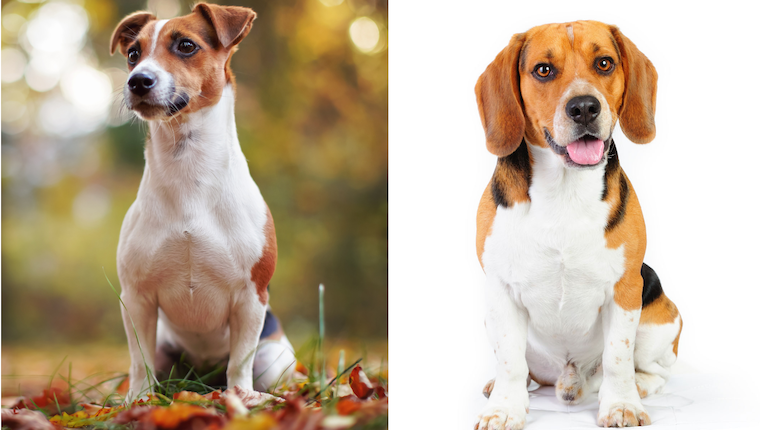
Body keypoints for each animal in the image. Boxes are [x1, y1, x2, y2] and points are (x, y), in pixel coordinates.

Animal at [476, 21, 684, 430]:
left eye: (604, 63)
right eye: (543, 70)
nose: (585, 107)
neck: (565, 189)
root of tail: (570, 378)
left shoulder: (624, 290)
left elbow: (618, 357)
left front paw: (622, 404)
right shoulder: (500, 291)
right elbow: (509, 360)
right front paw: (505, 408)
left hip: (660, 318)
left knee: (654, 371)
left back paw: (638, 386)